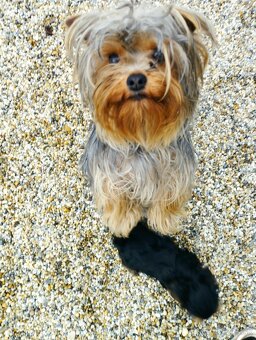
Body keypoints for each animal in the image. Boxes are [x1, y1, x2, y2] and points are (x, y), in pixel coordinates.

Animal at [65, 1, 215, 236]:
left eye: (159, 55)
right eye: (113, 58)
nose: (136, 79)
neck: (141, 132)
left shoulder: (176, 172)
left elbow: (169, 195)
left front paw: (164, 220)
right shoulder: (109, 174)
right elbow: (116, 195)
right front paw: (121, 220)